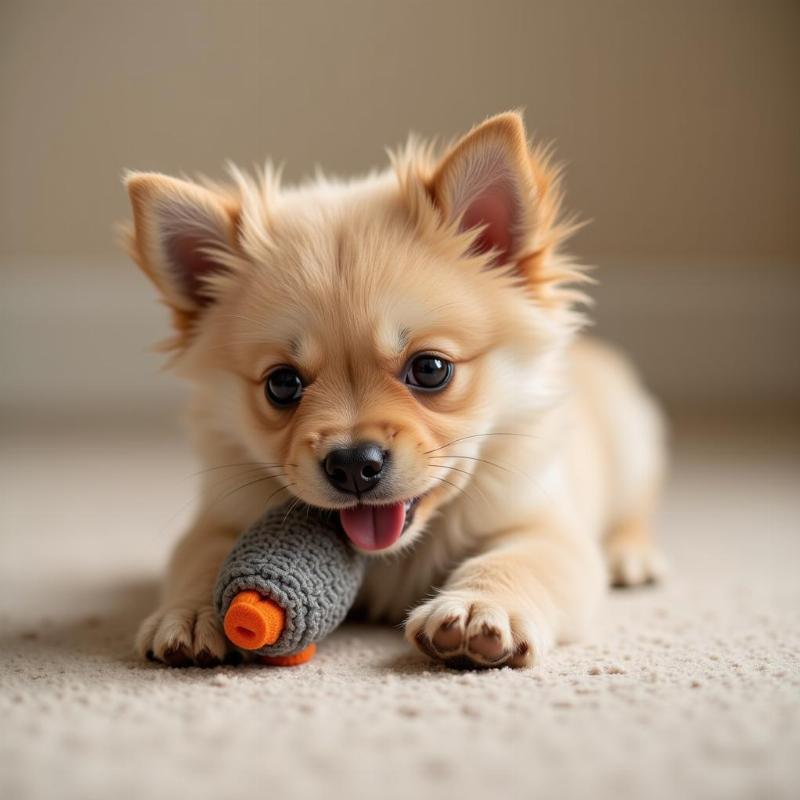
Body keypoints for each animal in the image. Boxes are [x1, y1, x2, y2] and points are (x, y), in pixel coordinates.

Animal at [123, 109, 664, 664]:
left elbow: (515, 563)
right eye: (282, 384)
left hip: (634, 446)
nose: (352, 464)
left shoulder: (545, 528)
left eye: (430, 370)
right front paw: (191, 614)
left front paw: (478, 608)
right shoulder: (217, 521)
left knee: (637, 509)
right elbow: (198, 559)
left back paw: (631, 556)